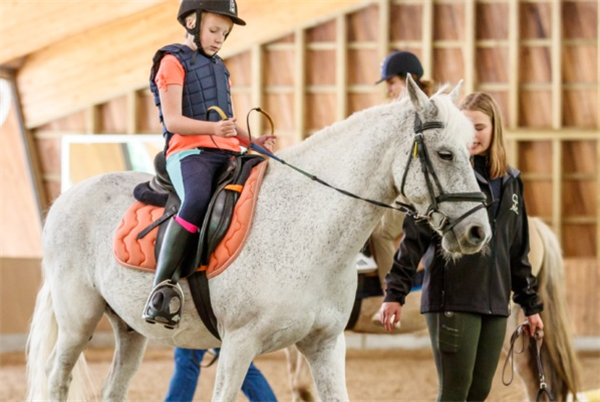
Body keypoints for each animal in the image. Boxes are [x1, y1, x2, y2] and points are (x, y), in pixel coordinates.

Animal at [25, 77, 490, 400]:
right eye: (445, 153)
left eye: (471, 151)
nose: (478, 232)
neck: (310, 226)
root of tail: (66, 198)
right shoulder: (237, 346)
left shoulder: (324, 345)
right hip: (78, 323)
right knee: (56, 379)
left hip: (128, 330)